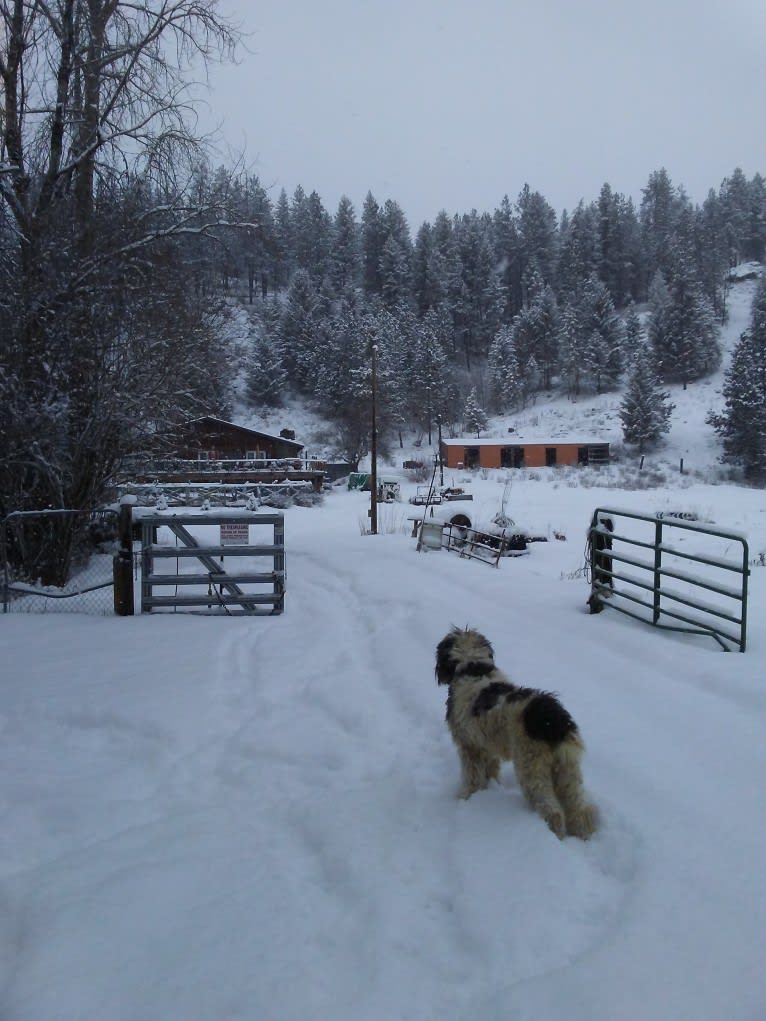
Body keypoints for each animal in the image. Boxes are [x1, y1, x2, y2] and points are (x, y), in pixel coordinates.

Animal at [437, 624, 600, 841]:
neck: (473, 668)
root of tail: (554, 719)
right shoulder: (487, 746)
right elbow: (490, 770)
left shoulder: (469, 747)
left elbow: (472, 777)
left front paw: (465, 798)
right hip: (567, 770)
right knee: (580, 810)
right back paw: (583, 836)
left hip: (531, 768)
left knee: (553, 811)